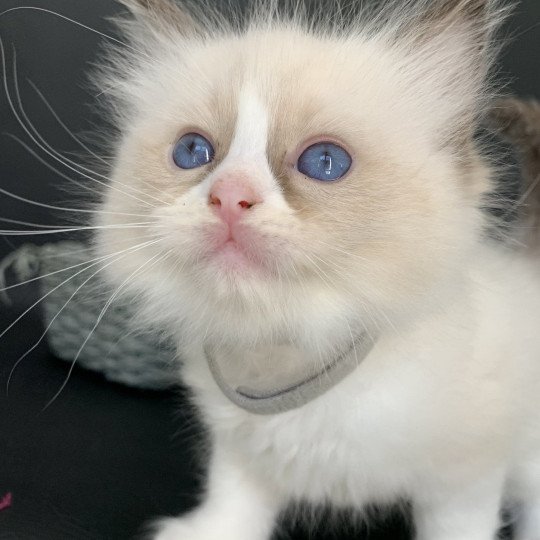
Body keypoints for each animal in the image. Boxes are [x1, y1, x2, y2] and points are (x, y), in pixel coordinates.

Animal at [94, 1, 540, 540]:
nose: (230, 197)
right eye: (193, 152)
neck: (293, 348)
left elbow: (458, 528)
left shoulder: (465, 476)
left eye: (325, 162)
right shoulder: (241, 446)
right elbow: (232, 501)